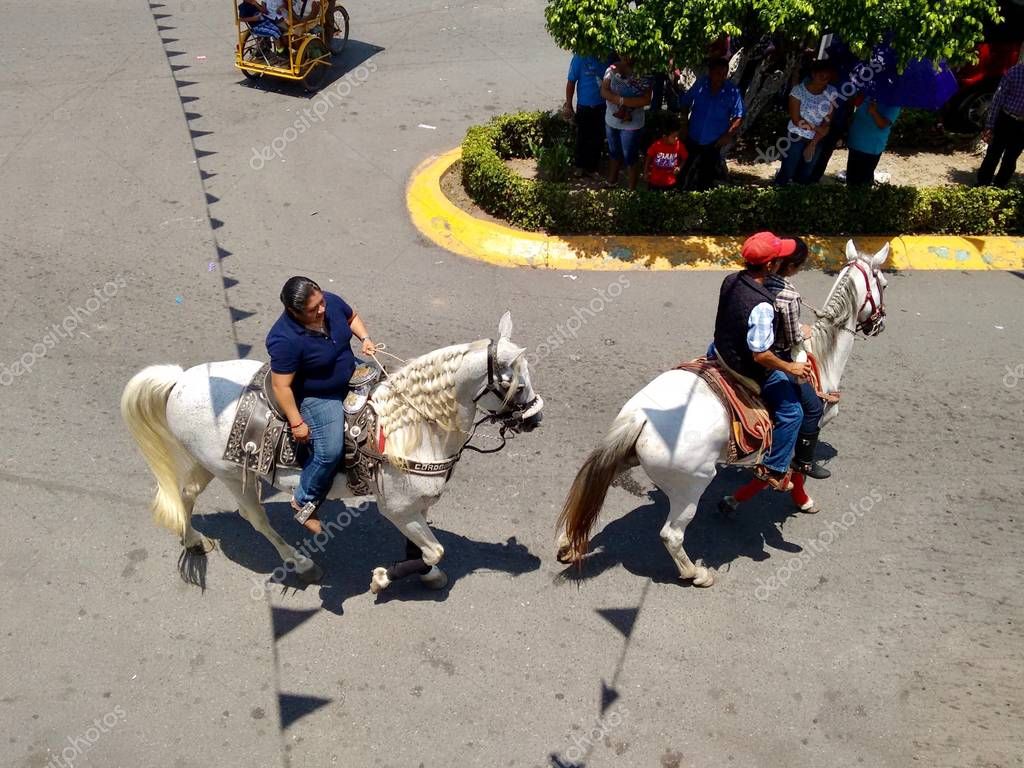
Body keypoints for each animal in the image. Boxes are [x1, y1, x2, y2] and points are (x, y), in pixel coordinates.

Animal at [121, 313, 544, 593]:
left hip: (208, 464)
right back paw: (303, 563)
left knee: (186, 493)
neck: (413, 425)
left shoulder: (417, 506)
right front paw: (384, 578)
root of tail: (180, 380)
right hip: (230, 475)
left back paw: (192, 540)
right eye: (516, 383)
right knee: (255, 518)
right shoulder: (397, 508)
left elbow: (424, 550)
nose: (536, 417)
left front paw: (425, 576)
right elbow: (436, 550)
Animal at [561, 241, 888, 589]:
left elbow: (770, 470)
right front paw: (800, 498)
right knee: (671, 535)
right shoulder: (810, 422)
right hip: (692, 485)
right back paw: (696, 573)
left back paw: (568, 544)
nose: (880, 323)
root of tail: (641, 418)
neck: (820, 357)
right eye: (883, 283)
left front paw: (738, 499)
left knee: (590, 492)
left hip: (625, 458)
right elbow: (794, 466)